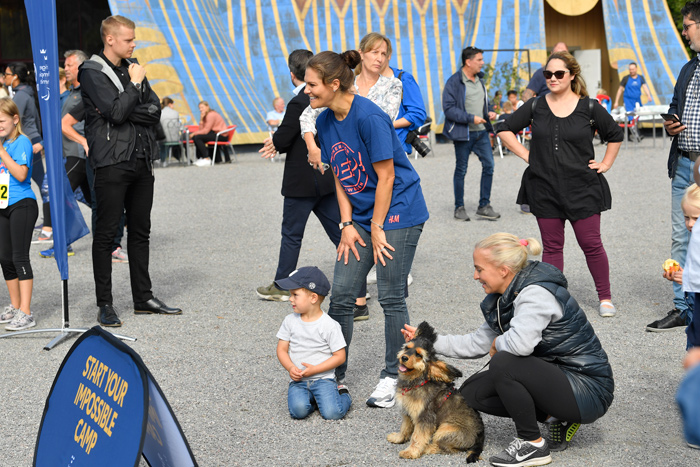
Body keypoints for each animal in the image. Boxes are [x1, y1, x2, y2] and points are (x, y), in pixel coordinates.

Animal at [386, 320, 484, 462]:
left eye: (419, 355)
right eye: (407, 348)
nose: (404, 358)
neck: (416, 382)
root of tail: (480, 435)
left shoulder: (425, 418)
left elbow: (417, 437)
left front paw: (411, 452)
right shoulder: (408, 413)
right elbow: (404, 428)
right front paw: (398, 438)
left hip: (445, 428)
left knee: (447, 448)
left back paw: (427, 448)